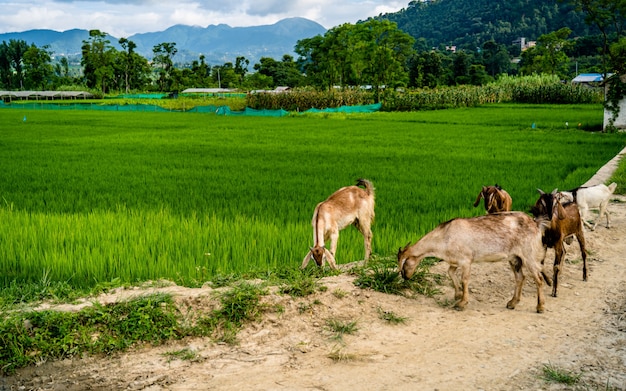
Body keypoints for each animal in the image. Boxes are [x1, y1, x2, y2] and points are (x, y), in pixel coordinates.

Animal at [398, 213, 548, 314]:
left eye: (403, 265)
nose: (405, 277)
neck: (444, 237)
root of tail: (535, 224)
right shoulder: (455, 260)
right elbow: (450, 272)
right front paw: (457, 294)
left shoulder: (466, 260)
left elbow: (464, 280)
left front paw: (461, 303)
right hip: (514, 258)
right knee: (520, 277)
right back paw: (512, 303)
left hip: (529, 255)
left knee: (539, 278)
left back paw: (540, 307)